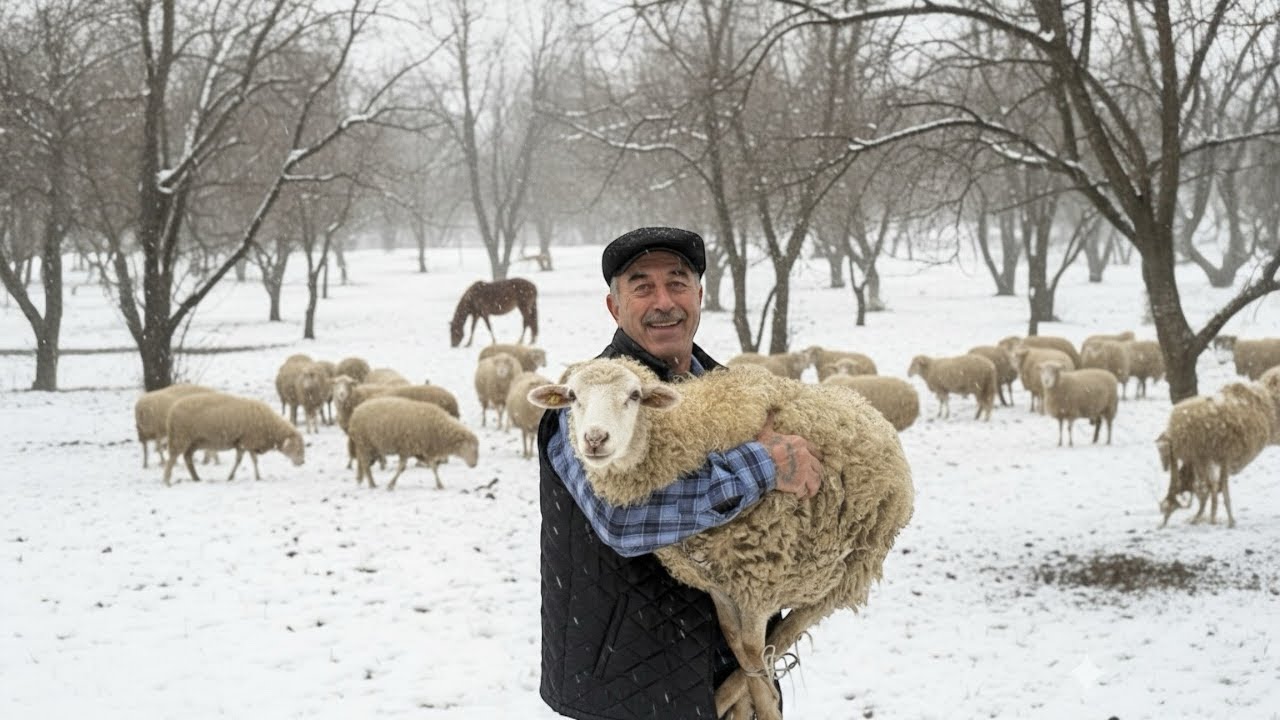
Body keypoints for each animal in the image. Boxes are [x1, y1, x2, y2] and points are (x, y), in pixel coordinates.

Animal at [162, 392, 305, 486]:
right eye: (297, 448)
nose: (302, 462)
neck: (271, 427)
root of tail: (171, 411)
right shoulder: (249, 441)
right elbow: (254, 460)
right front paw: (257, 477)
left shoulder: (241, 443)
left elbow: (239, 461)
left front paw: (232, 476)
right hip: (180, 438)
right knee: (172, 459)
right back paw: (167, 480)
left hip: (194, 442)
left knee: (187, 457)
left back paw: (196, 478)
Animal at [346, 396, 479, 490]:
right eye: (472, 448)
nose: (474, 465)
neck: (438, 429)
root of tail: (355, 412)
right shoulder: (406, 448)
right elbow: (402, 468)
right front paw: (391, 484)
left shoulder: (425, 450)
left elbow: (434, 468)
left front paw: (439, 484)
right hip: (365, 443)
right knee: (365, 464)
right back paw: (372, 484)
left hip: (368, 445)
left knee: (362, 462)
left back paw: (362, 479)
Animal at [1156, 382, 1279, 528]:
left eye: (1166, 507)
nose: (1162, 523)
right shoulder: (1209, 458)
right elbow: (1213, 488)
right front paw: (1211, 518)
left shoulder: (1218, 457)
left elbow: (1216, 489)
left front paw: (1222, 520)